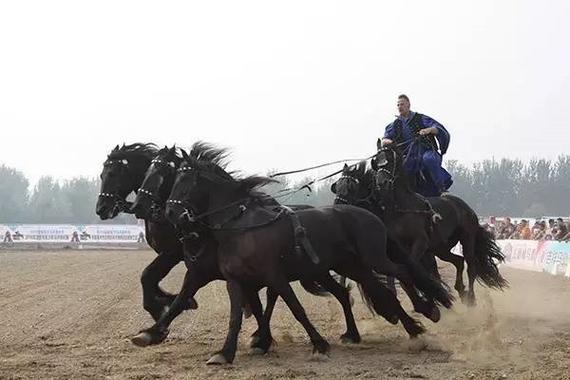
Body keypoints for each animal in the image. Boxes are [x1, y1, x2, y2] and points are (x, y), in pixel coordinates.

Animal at [96, 144, 197, 322]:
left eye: (113, 174)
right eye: (101, 175)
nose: (101, 208)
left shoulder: (172, 252)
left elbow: (147, 276)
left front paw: (160, 307)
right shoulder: (166, 254)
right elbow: (150, 279)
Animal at [158, 143, 450, 366]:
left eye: (186, 181)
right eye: (173, 181)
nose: (171, 213)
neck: (242, 226)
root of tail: (370, 216)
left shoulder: (274, 276)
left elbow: (296, 308)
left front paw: (318, 344)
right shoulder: (237, 281)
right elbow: (235, 317)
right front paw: (226, 352)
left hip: (374, 260)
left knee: (404, 273)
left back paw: (425, 309)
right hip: (351, 266)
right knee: (380, 291)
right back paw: (410, 329)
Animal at [330, 140, 504, 306]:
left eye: (351, 187)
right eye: (337, 187)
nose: (381, 182)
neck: (398, 209)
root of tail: (466, 207)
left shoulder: (420, 243)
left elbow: (413, 270)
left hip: (467, 238)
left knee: (471, 266)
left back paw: (470, 298)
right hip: (441, 248)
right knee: (458, 261)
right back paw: (459, 290)